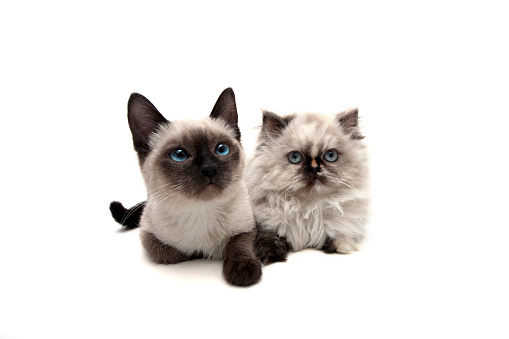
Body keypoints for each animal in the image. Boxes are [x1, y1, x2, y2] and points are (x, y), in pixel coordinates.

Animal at [112, 88, 260, 286]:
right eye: (179, 155)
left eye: (221, 149)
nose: (209, 169)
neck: (200, 210)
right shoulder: (147, 234)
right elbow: (171, 253)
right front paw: (199, 253)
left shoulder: (248, 226)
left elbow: (238, 244)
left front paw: (243, 271)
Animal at [246, 110, 370, 264]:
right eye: (295, 157)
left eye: (330, 155)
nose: (314, 168)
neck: (309, 207)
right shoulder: (265, 223)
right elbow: (270, 238)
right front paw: (271, 256)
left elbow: (339, 235)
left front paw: (340, 247)